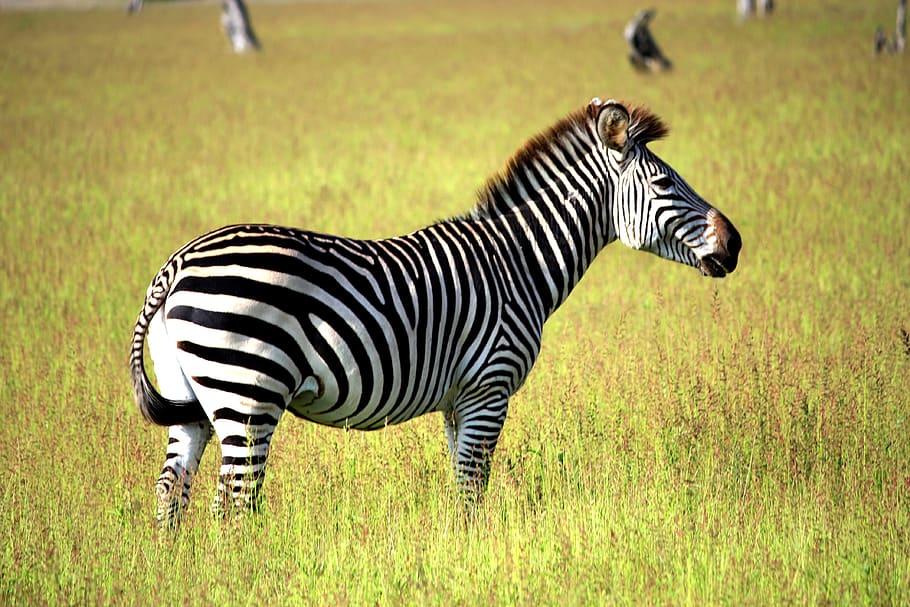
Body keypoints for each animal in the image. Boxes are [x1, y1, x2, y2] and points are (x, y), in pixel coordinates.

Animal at [130, 100, 740, 528]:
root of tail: (176, 264)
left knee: (171, 492)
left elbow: (460, 485)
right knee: (232, 502)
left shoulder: (459, 400)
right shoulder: (490, 389)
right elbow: (473, 491)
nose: (735, 243)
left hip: (192, 398)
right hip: (247, 394)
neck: (519, 261)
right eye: (665, 182)